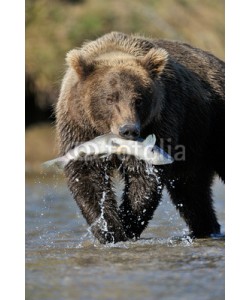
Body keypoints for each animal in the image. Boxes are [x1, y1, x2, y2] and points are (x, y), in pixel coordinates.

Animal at [56, 31, 225, 244]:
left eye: (138, 100)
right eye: (110, 98)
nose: (128, 130)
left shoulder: (160, 122)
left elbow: (143, 177)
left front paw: (127, 225)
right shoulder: (79, 128)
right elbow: (87, 177)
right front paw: (110, 230)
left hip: (211, 124)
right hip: (196, 142)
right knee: (192, 191)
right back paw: (205, 229)